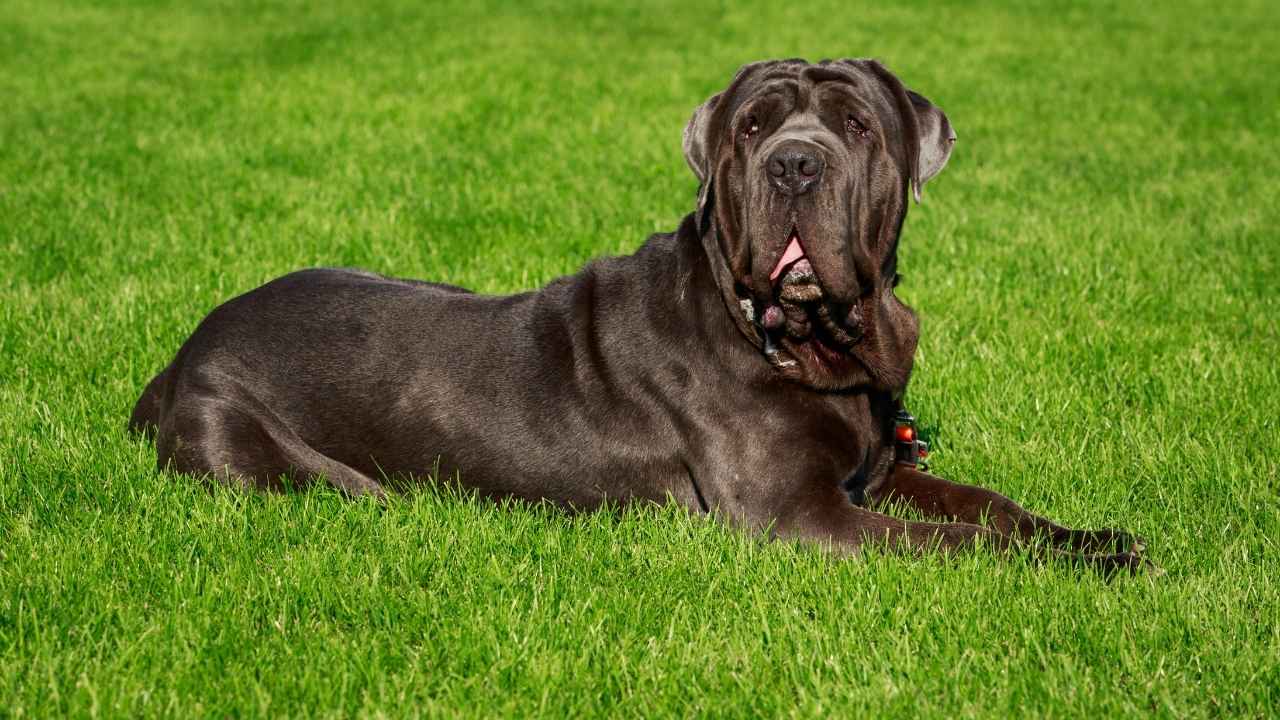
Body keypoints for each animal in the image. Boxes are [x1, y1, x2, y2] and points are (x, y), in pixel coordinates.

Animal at [132, 58, 1152, 568]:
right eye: (754, 127)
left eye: (858, 126)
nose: (795, 163)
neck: (800, 340)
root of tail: (181, 353)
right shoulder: (799, 515)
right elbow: (960, 547)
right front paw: (1082, 566)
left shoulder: (878, 474)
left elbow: (991, 510)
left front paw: (1096, 539)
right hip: (276, 464)